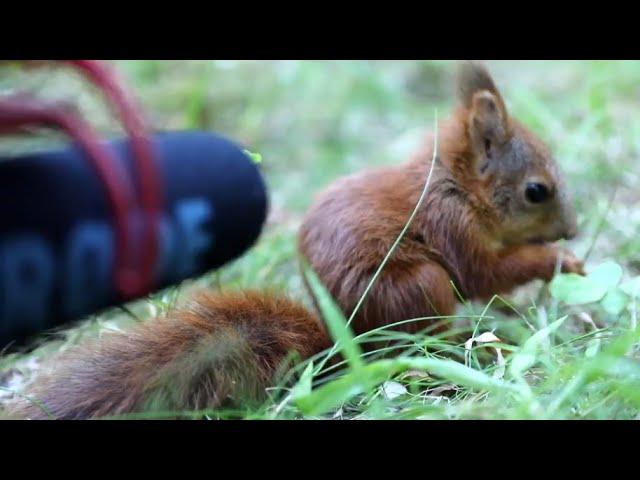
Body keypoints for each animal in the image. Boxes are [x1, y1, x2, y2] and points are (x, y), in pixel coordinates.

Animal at [1, 61, 584, 420]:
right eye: (536, 191)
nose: (574, 229)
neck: (458, 187)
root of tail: (348, 343)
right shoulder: (452, 228)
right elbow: (485, 272)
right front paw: (560, 261)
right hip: (422, 285)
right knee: (425, 340)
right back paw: (472, 350)